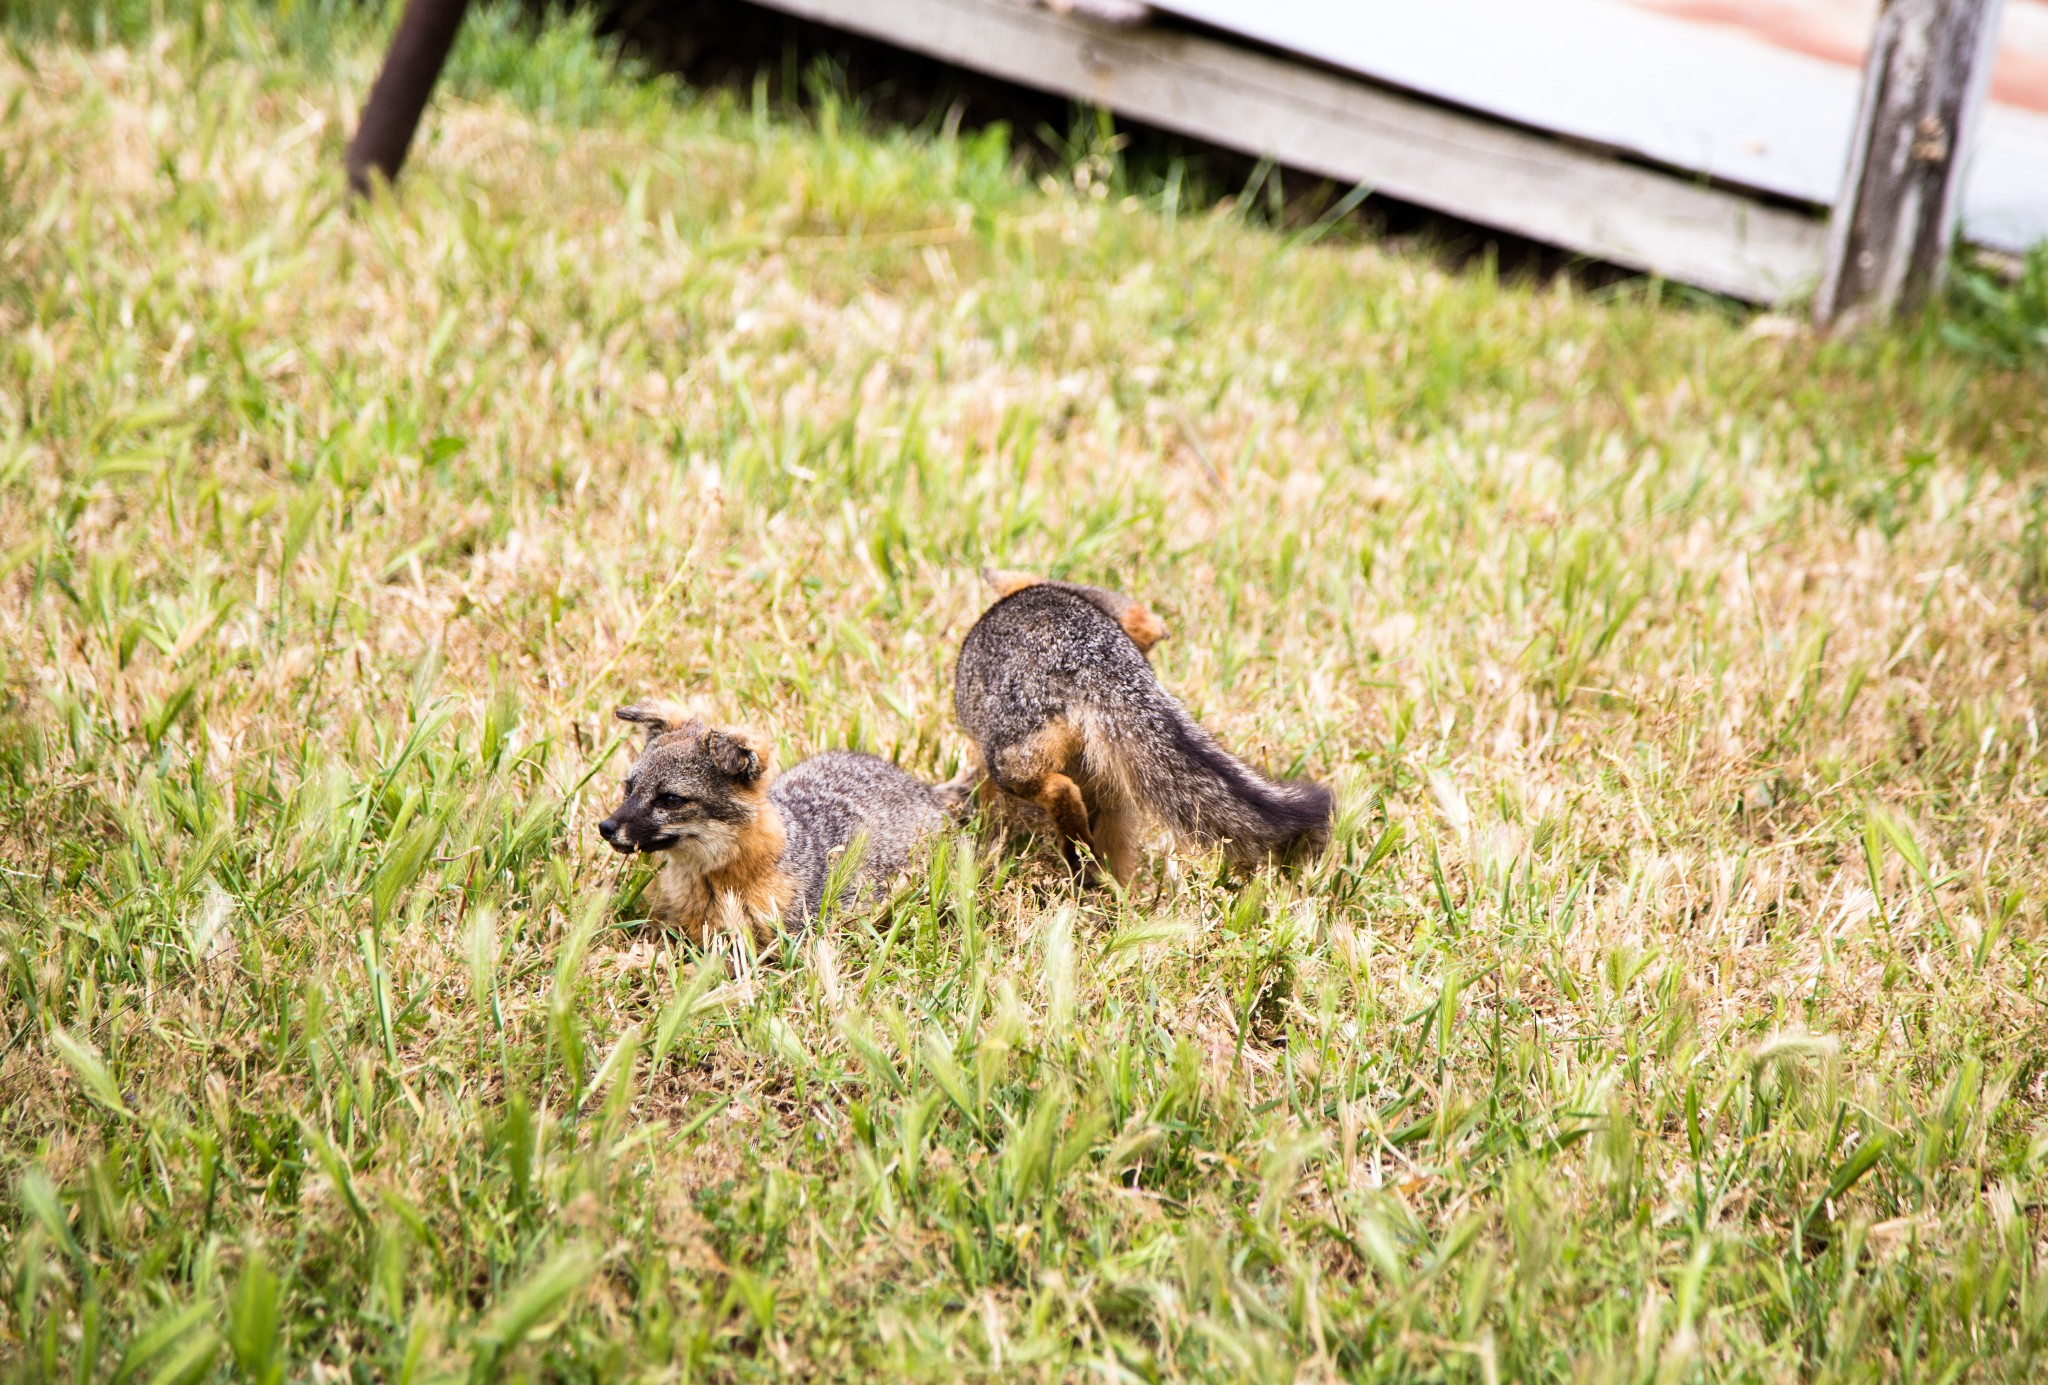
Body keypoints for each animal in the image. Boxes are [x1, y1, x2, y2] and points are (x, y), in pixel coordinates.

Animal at [954, 569, 1335, 876]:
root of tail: (1091, 657)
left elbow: (985, 795)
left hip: (1011, 763)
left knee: (1060, 790)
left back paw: (1077, 853)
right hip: (1116, 797)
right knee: (1117, 864)